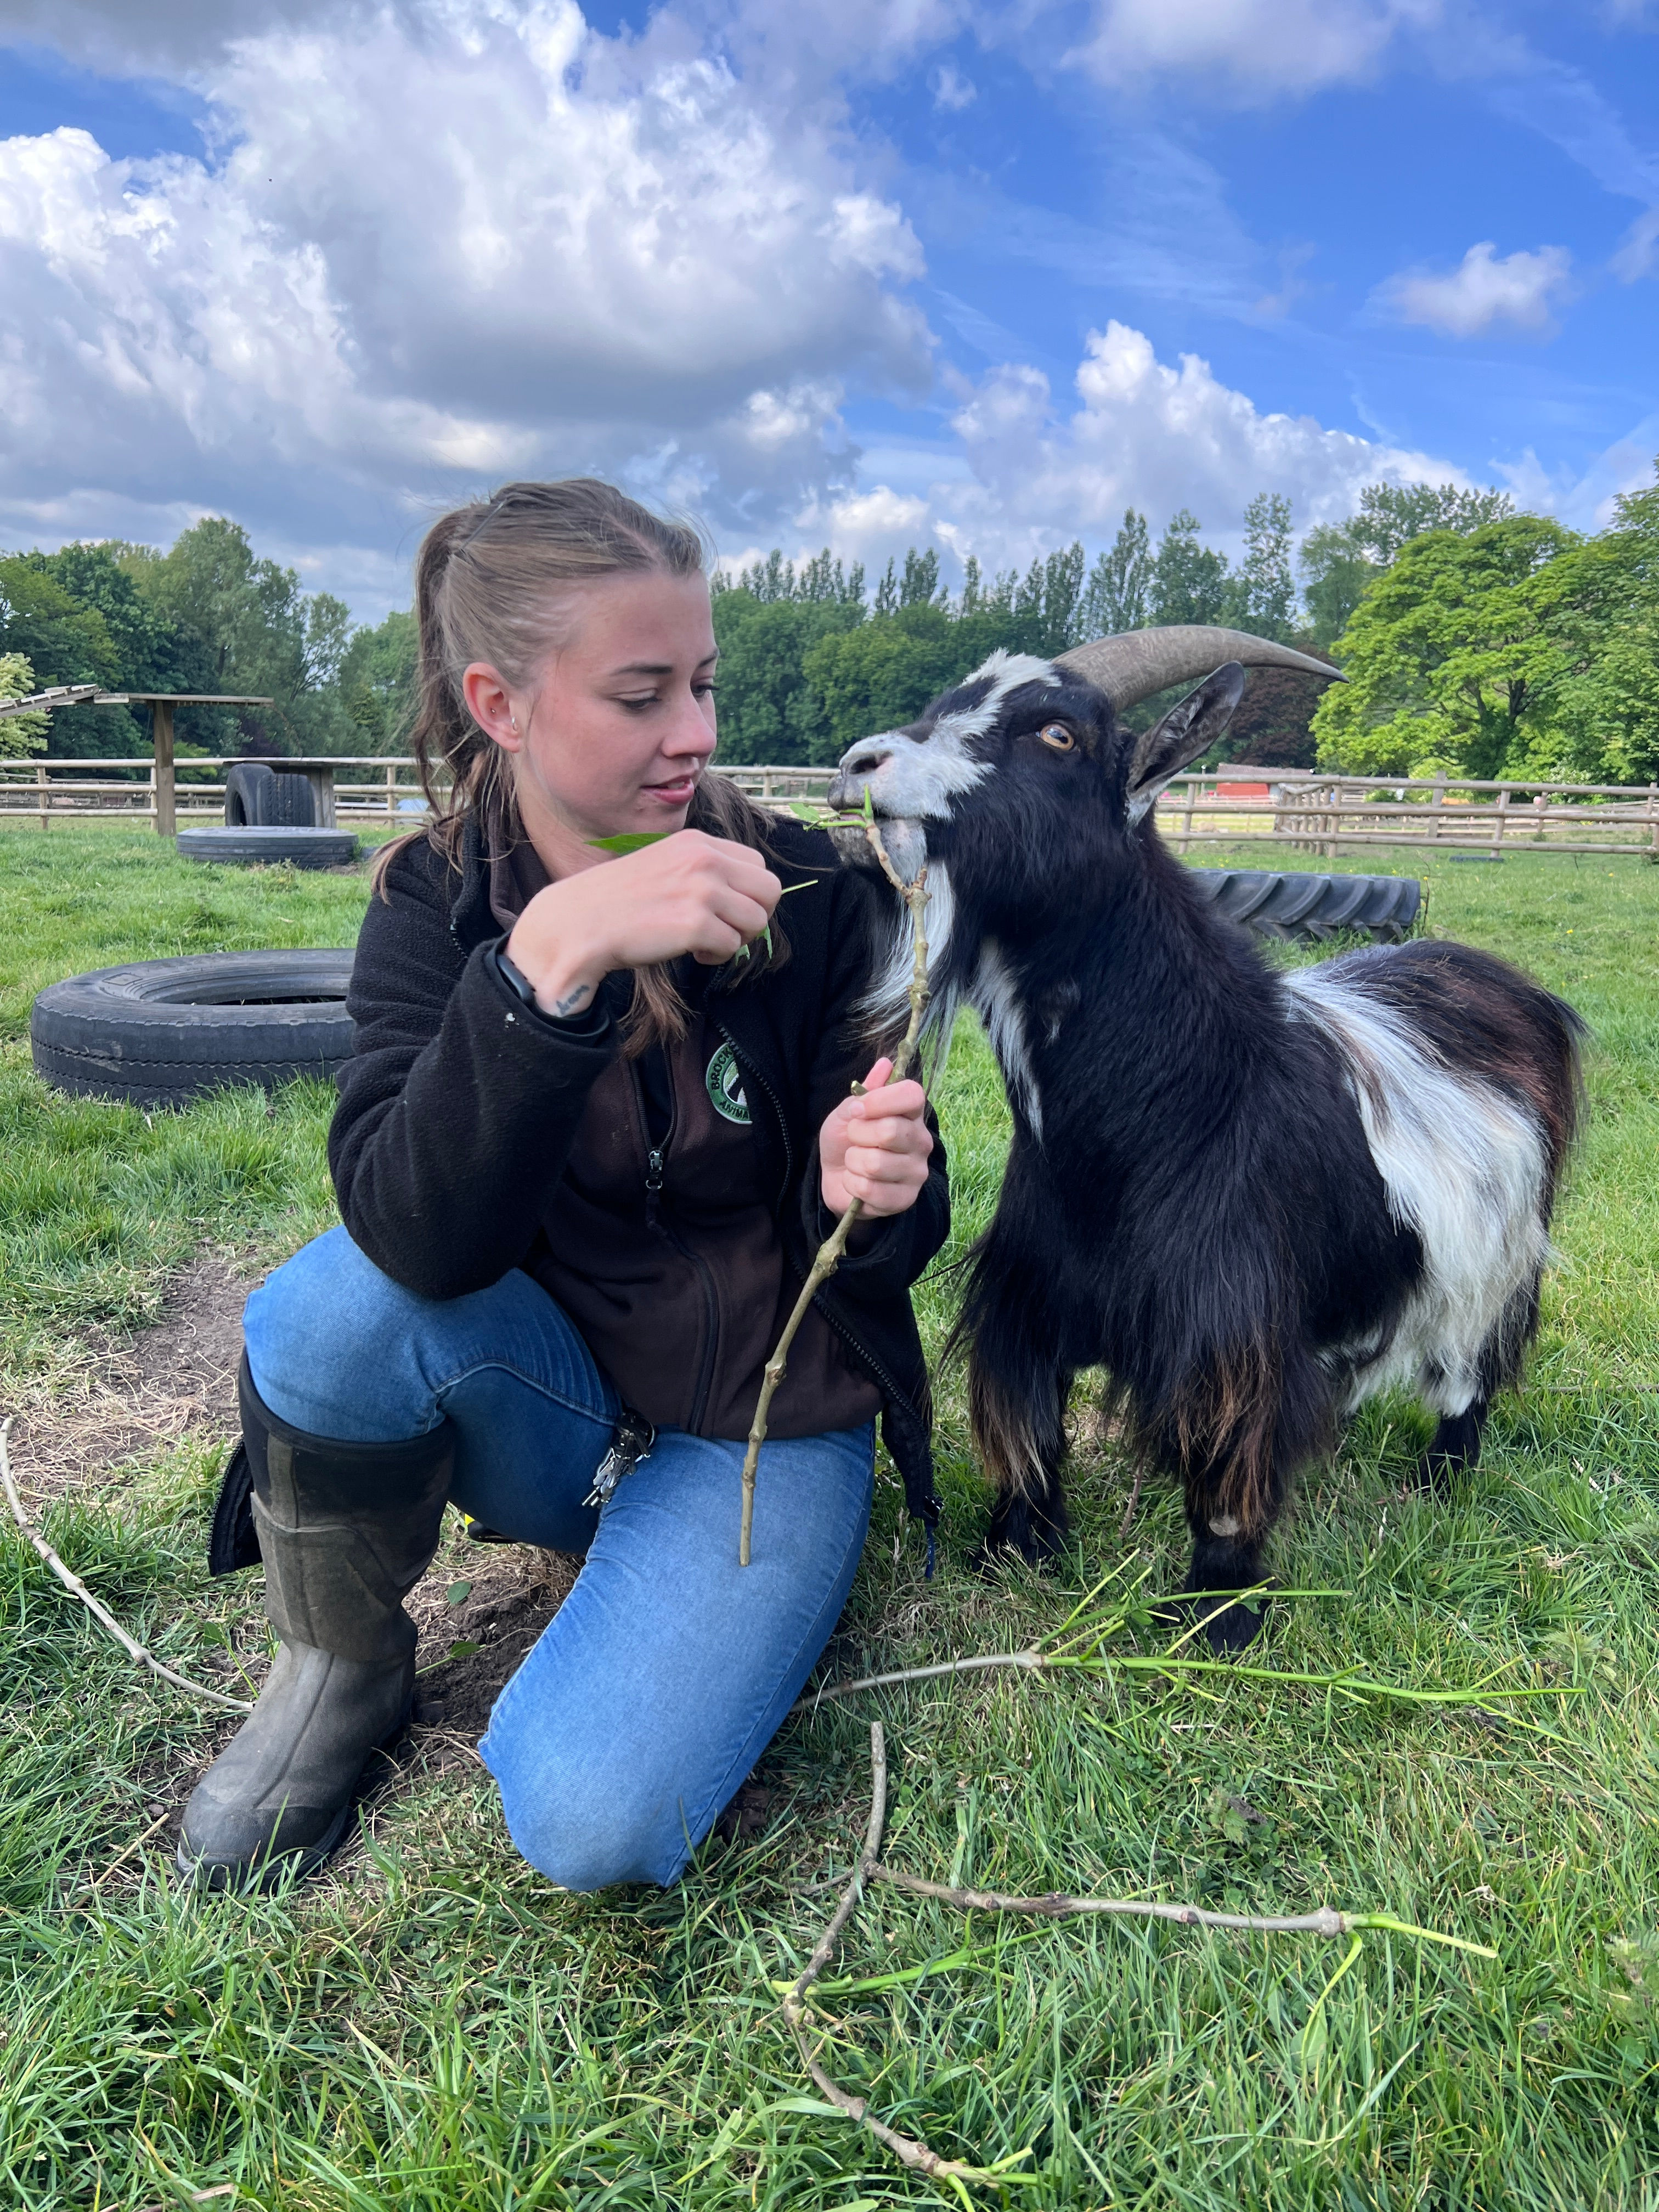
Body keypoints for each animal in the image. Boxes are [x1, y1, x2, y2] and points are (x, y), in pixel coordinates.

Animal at [825, 628, 1585, 1651]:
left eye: (1058, 733)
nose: (859, 764)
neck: (1168, 1110)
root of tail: (1503, 979)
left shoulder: (1231, 1323)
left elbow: (1226, 1472)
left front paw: (1216, 1619)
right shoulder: (1030, 1299)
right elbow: (1032, 1429)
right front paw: (1015, 1549)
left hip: (1493, 1256)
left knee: (1469, 1367)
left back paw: (1441, 1481)